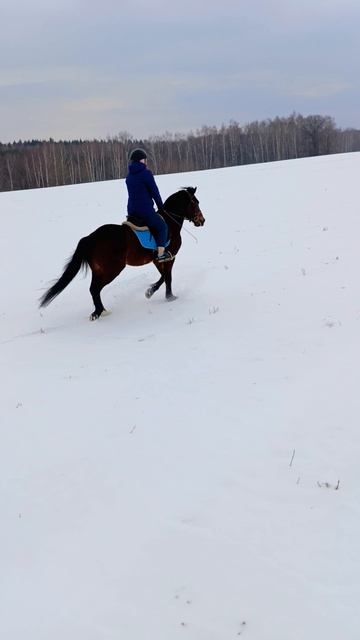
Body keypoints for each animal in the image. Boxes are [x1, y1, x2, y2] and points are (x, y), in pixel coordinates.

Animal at [39, 188, 205, 322]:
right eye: (195, 203)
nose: (202, 220)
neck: (170, 224)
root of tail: (90, 238)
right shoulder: (169, 257)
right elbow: (167, 277)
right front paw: (165, 296)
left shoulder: (157, 260)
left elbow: (164, 276)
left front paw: (158, 293)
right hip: (111, 270)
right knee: (95, 289)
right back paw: (100, 312)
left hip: (98, 270)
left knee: (93, 289)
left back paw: (99, 311)